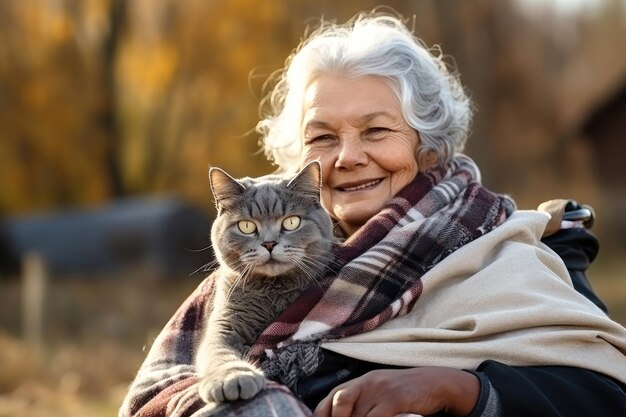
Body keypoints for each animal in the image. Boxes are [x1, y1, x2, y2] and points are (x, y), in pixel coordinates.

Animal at [196, 159, 334, 404]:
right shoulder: (225, 322)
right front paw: (234, 378)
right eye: (246, 226)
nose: (269, 243)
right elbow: (218, 351)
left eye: (292, 222)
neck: (273, 291)